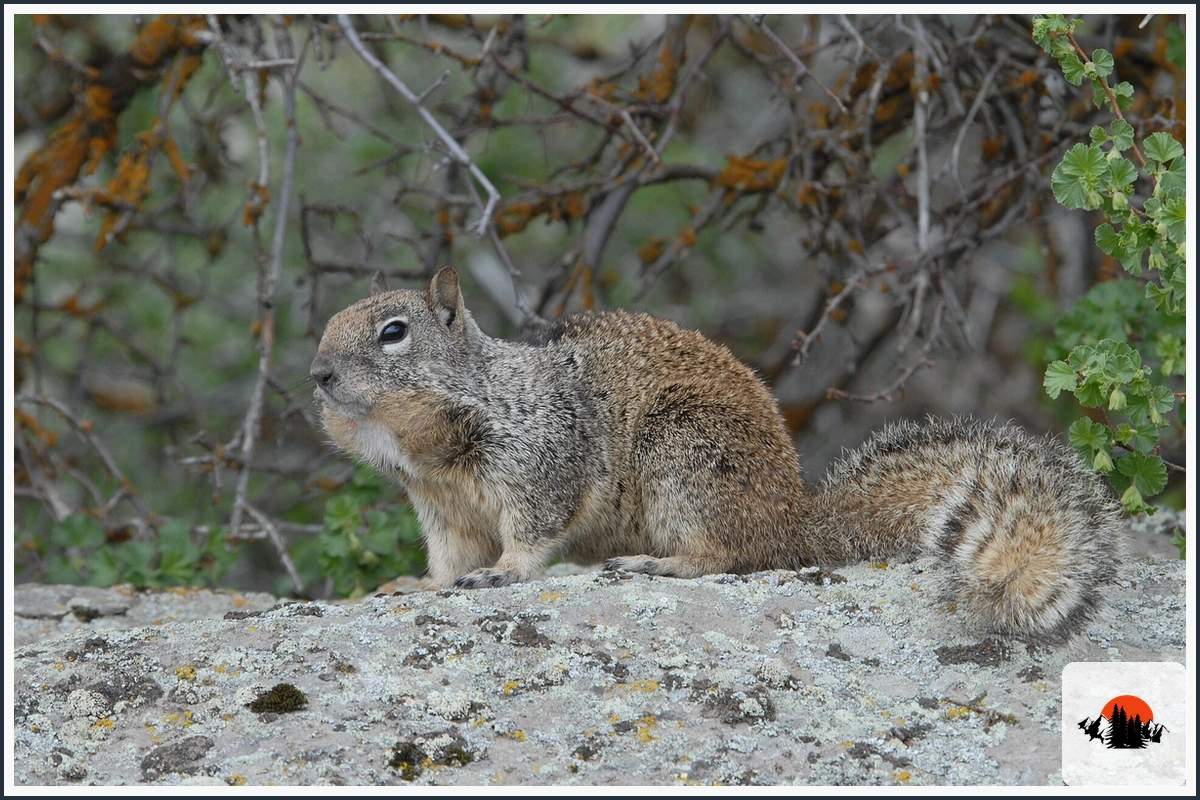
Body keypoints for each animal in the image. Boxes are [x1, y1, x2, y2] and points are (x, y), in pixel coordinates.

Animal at [311, 267, 1123, 643]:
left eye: (393, 333)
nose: (316, 374)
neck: (432, 447)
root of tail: (795, 522)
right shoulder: (441, 509)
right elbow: (445, 560)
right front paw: (413, 586)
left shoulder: (543, 458)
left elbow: (533, 533)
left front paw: (504, 574)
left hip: (688, 457)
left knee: (730, 556)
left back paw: (657, 563)